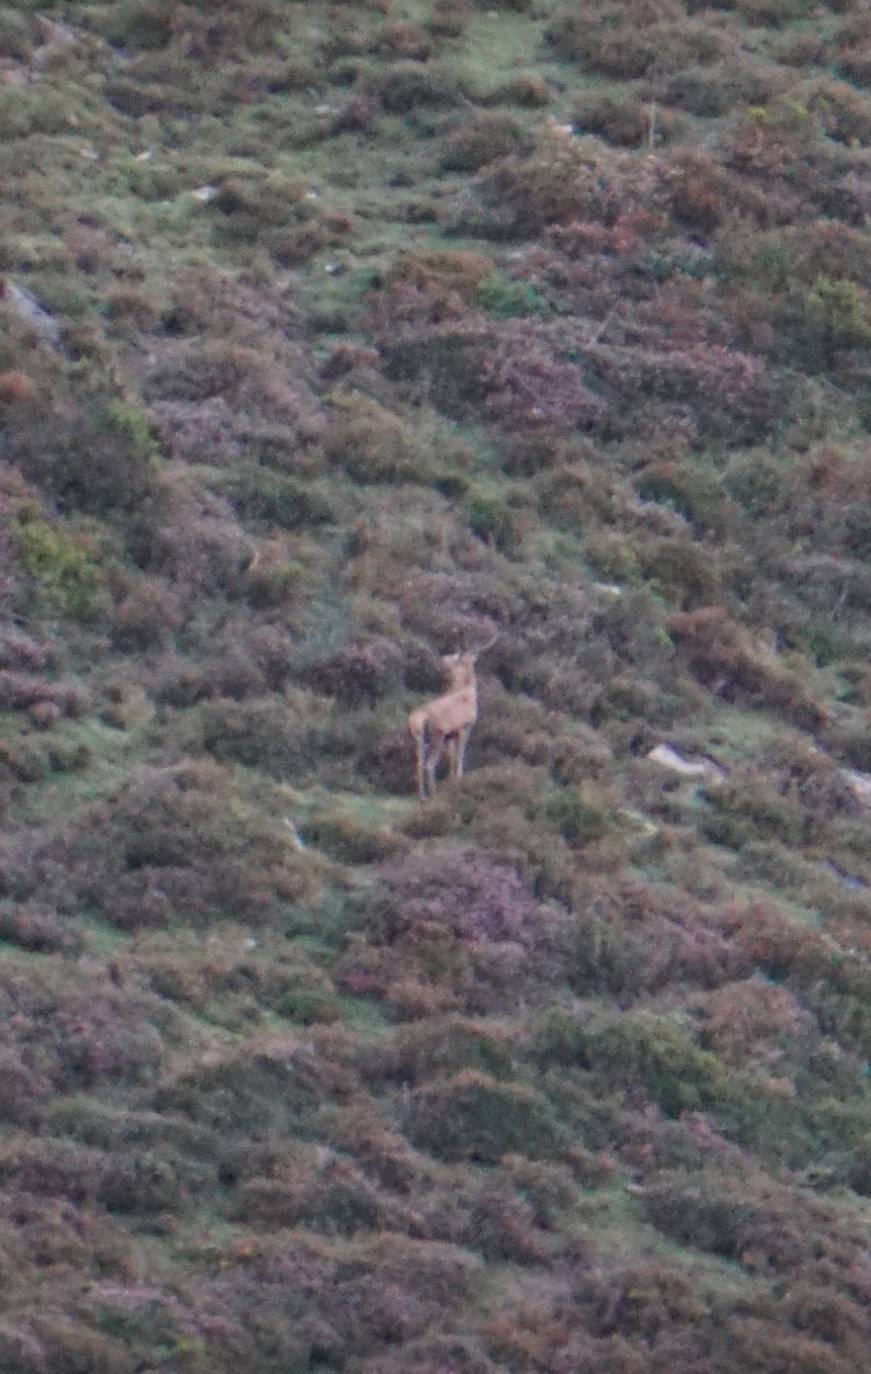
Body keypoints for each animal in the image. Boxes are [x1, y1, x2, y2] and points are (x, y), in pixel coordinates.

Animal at [406, 629, 494, 802]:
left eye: (453, 655)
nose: (441, 659)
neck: (467, 691)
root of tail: (417, 719)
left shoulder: (451, 735)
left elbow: (452, 761)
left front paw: (452, 785)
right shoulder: (464, 727)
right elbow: (459, 759)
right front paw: (459, 783)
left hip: (419, 738)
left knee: (419, 762)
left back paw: (422, 796)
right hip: (437, 735)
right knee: (429, 764)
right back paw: (433, 795)